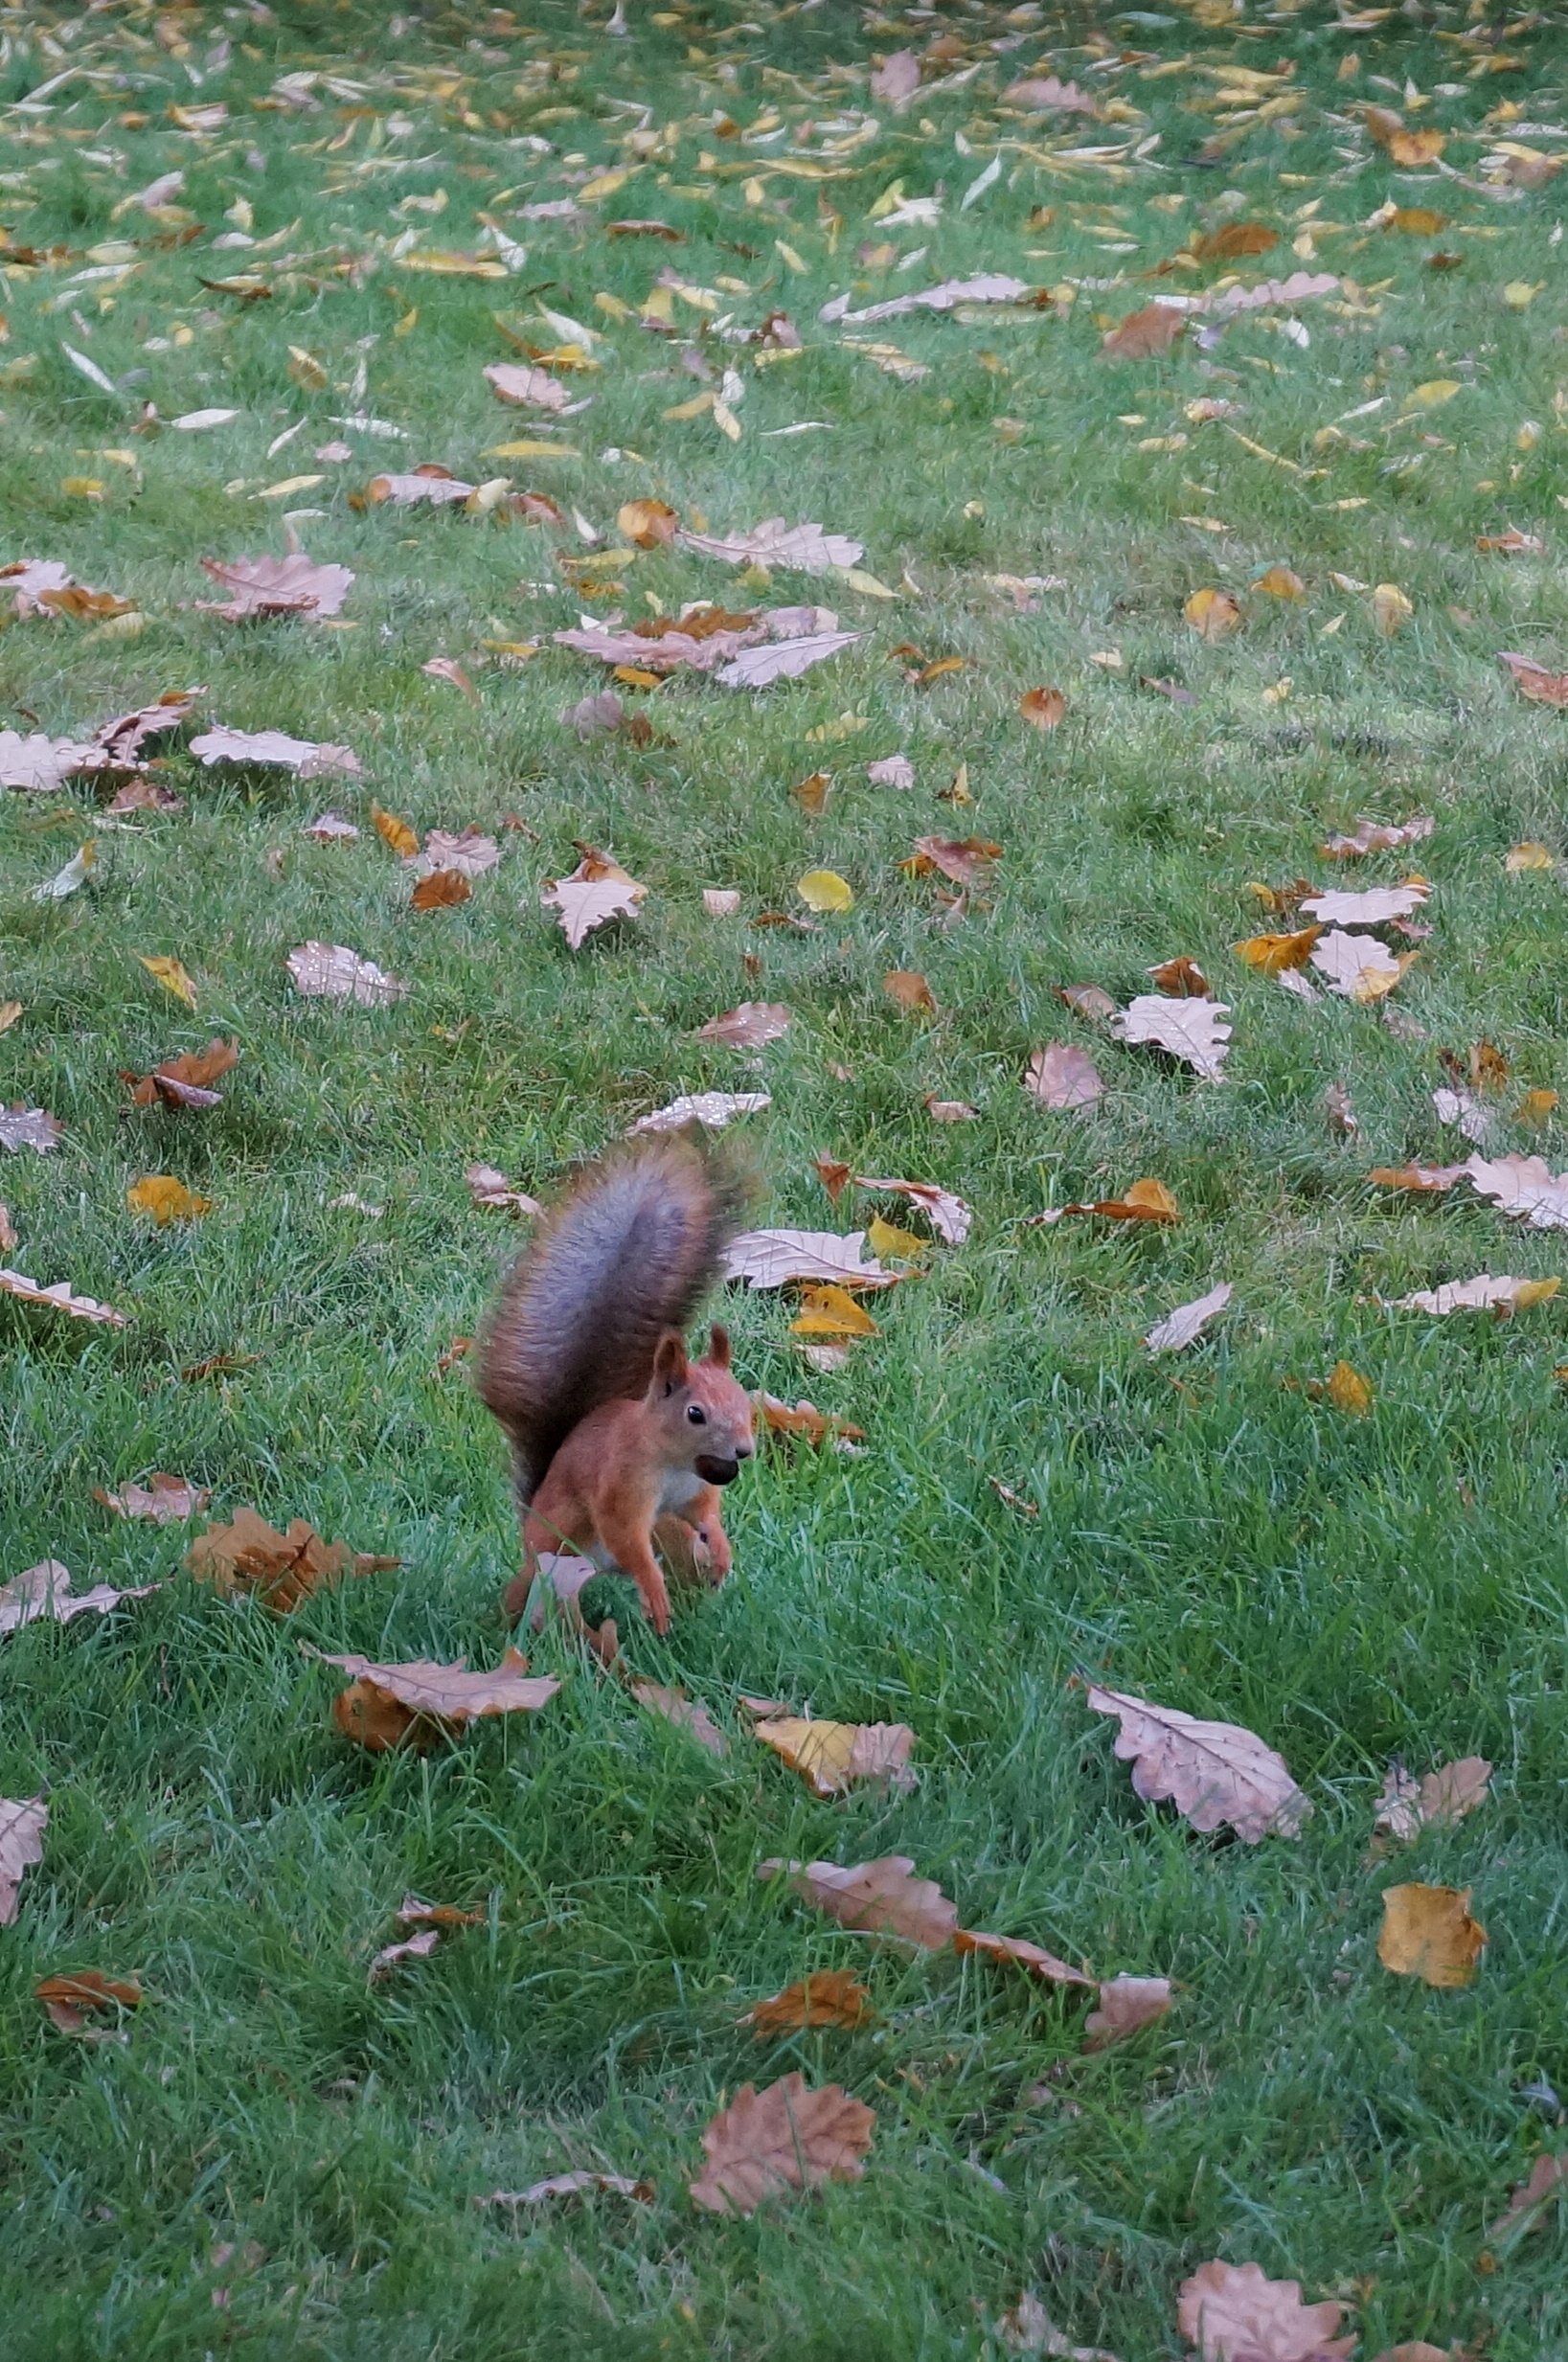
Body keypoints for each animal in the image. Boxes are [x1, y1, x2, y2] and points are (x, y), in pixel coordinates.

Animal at [474, 1133, 755, 1634]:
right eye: (695, 1413)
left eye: (746, 1403)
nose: (743, 1451)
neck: (675, 1462)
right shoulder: (621, 1486)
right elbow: (627, 1537)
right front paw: (654, 1592)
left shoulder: (692, 1496)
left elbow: (705, 1516)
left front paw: (722, 1551)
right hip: (552, 1555)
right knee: (531, 1586)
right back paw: (502, 1625)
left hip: (664, 1543)